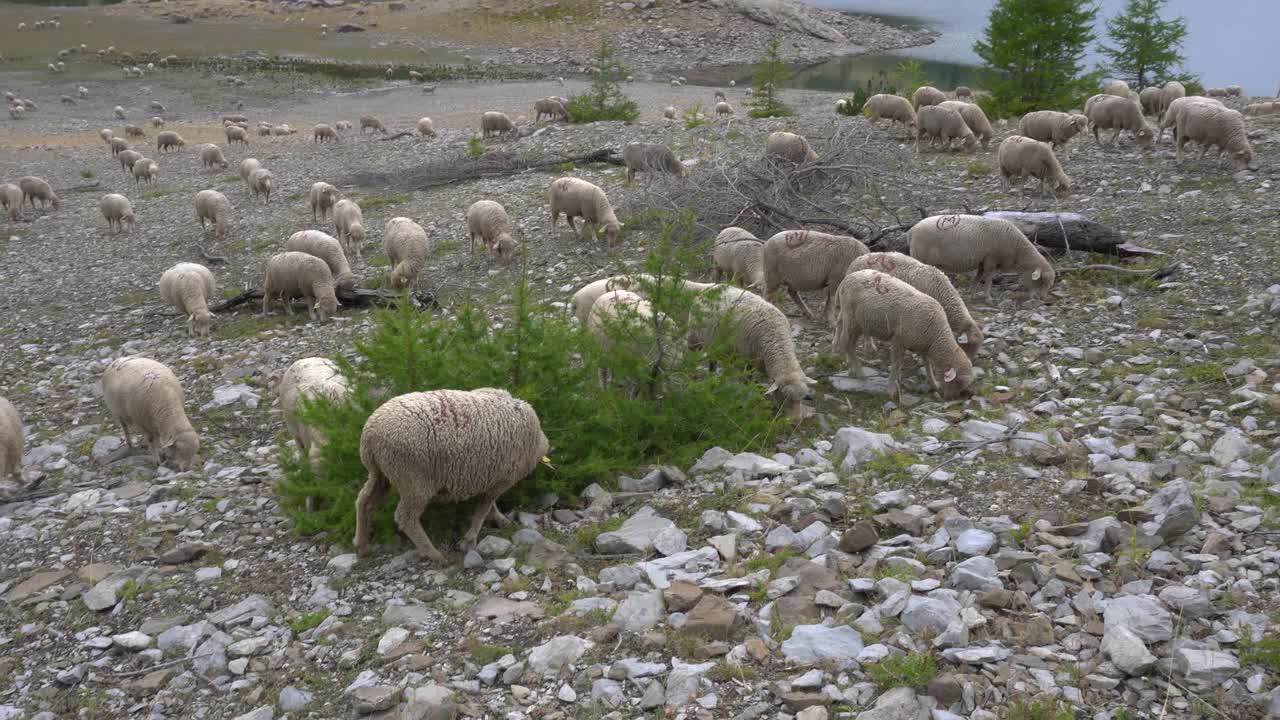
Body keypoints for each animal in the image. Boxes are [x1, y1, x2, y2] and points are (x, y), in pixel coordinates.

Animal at [353, 388, 548, 562]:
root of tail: (370, 435)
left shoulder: (490, 476)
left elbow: (488, 503)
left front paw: (499, 519)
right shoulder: (502, 479)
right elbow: (483, 507)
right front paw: (470, 539)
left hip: (380, 473)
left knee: (364, 502)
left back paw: (362, 545)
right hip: (413, 481)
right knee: (405, 517)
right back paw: (433, 554)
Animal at [689, 286, 816, 418]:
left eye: (802, 398)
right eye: (784, 396)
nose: (796, 419)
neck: (775, 338)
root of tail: (710, 288)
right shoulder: (745, 358)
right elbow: (747, 379)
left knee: (713, 361)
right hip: (694, 338)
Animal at [831, 269, 973, 400]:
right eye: (957, 381)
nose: (950, 398)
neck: (935, 335)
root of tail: (847, 278)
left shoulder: (923, 344)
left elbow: (927, 364)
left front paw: (933, 383)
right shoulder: (898, 341)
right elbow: (896, 365)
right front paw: (891, 389)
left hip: (859, 323)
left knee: (848, 343)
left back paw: (852, 370)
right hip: (852, 320)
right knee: (847, 344)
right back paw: (860, 373)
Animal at [908, 214, 1055, 300]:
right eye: (1042, 281)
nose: (1042, 298)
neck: (1017, 250)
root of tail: (912, 230)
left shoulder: (982, 262)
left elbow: (978, 278)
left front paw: (971, 293)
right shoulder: (991, 260)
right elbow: (989, 279)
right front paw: (988, 297)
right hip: (920, 257)